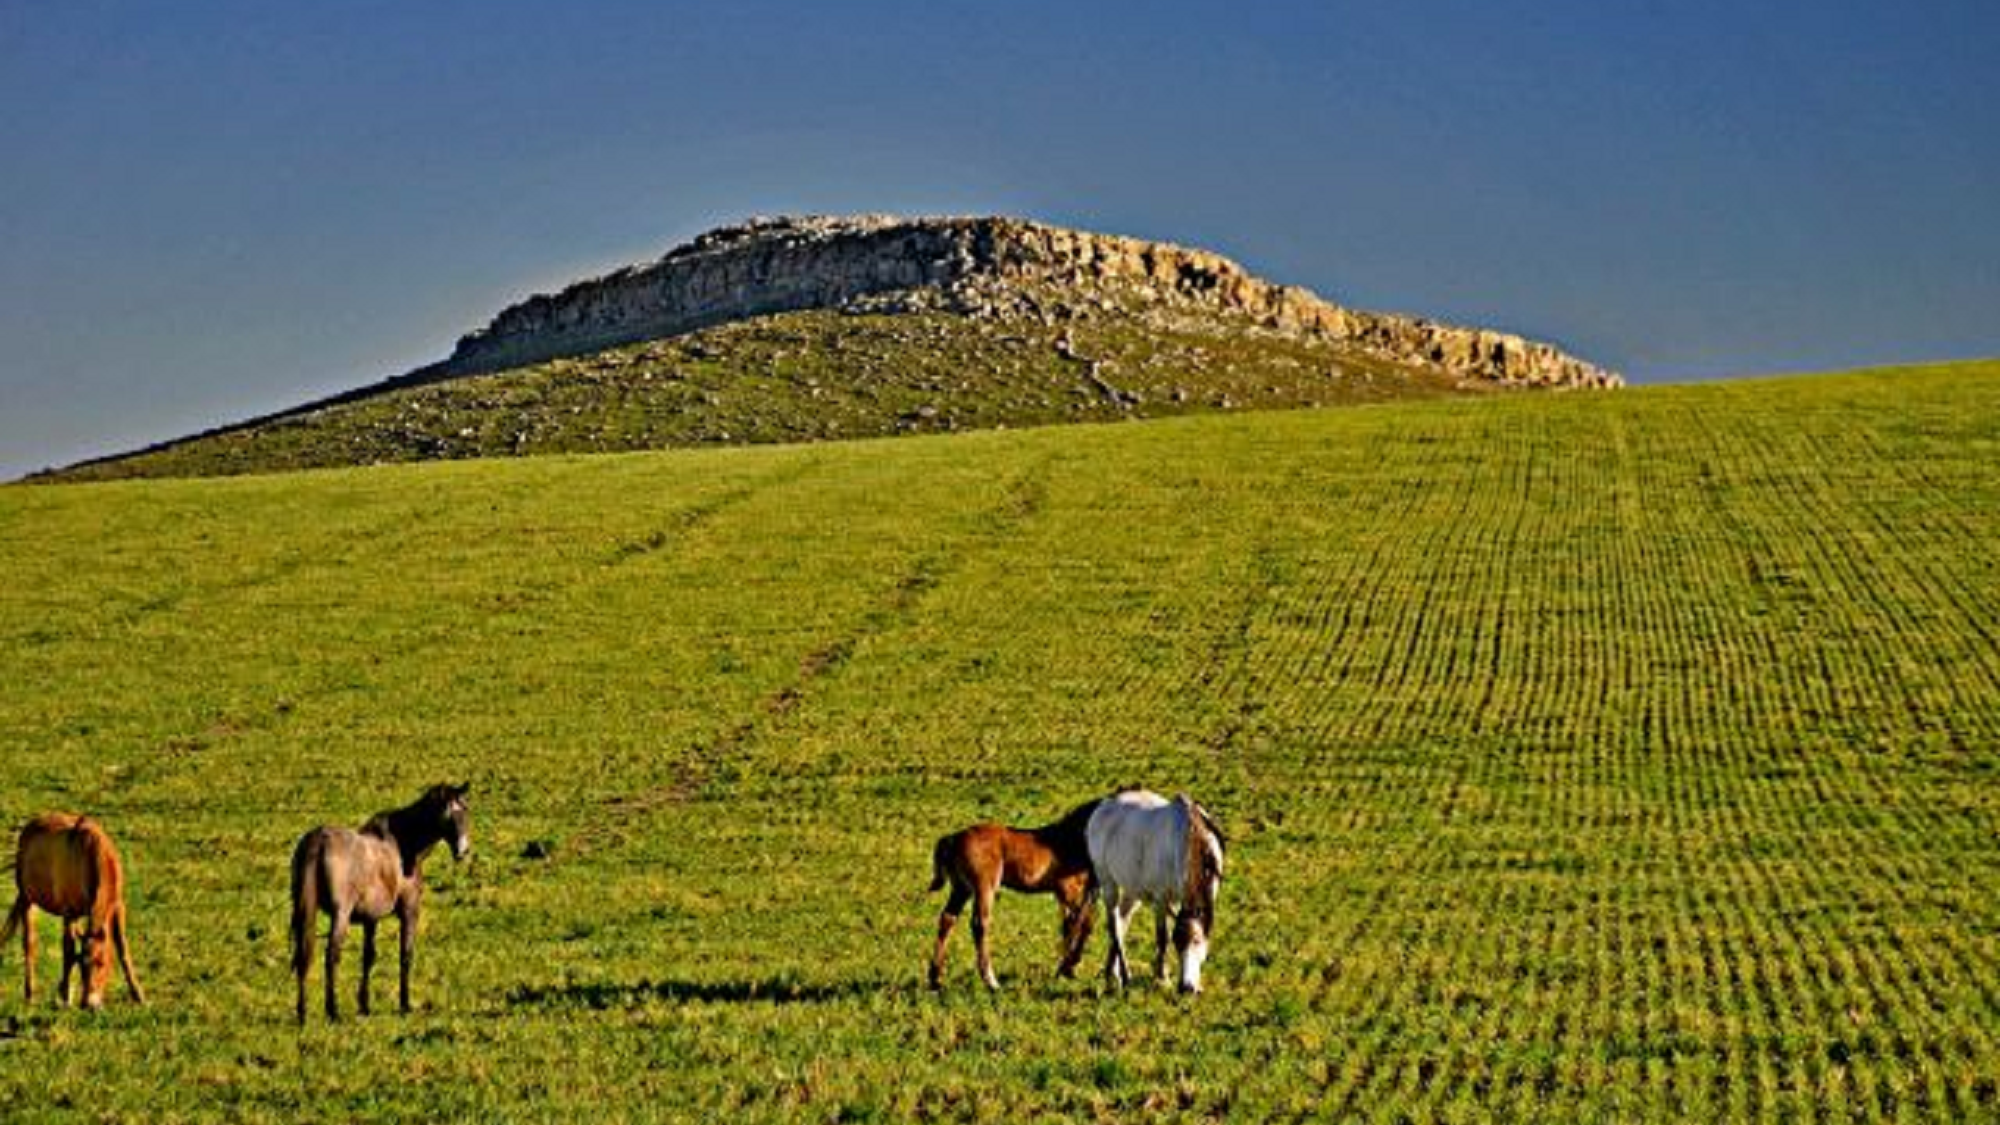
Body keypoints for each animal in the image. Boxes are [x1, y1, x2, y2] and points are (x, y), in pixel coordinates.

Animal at [1, 804, 147, 1008]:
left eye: (102, 963)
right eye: (82, 964)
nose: (88, 1003)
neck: (95, 856)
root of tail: (29, 827)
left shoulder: (117, 906)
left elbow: (122, 948)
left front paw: (139, 995)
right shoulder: (68, 911)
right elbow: (68, 950)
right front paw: (65, 996)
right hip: (27, 898)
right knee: (29, 943)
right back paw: (30, 994)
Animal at [288, 784, 470, 1020]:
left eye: (465, 811)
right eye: (448, 813)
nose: (463, 851)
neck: (403, 845)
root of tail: (318, 840)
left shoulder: (370, 919)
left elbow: (368, 957)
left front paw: (364, 1006)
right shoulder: (410, 912)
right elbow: (405, 955)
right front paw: (405, 1005)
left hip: (304, 912)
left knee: (303, 956)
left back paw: (302, 1012)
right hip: (340, 915)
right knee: (331, 956)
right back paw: (332, 1011)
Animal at [928, 792, 1104, 984]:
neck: (1071, 840)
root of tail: (954, 838)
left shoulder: (1070, 893)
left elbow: (1074, 924)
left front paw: (1068, 969)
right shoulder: (1068, 889)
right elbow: (1082, 923)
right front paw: (1067, 967)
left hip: (961, 888)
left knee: (947, 919)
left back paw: (935, 978)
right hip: (984, 886)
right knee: (979, 923)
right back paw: (991, 980)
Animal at [1088, 788, 1224, 988]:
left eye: (1197, 941)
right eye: (1178, 943)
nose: (1187, 987)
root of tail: (1103, 806)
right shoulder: (1161, 898)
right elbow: (1162, 936)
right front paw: (1162, 977)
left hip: (1132, 889)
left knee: (1122, 920)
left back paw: (1111, 973)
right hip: (1108, 882)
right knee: (1114, 925)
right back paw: (1125, 976)